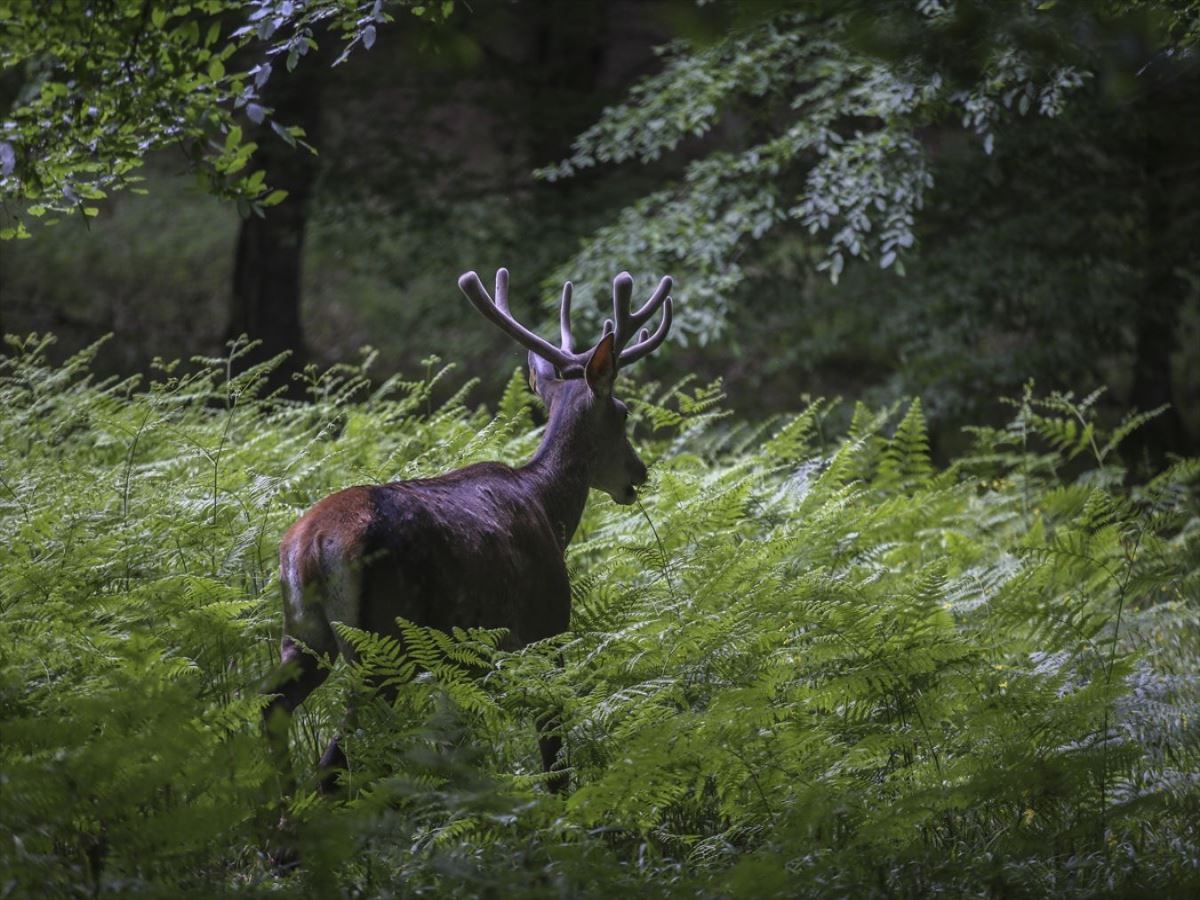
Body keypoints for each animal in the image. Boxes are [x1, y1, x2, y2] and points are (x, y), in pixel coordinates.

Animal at [264, 266, 676, 811]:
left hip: (303, 635)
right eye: (624, 411)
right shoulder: (545, 625)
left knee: (272, 708)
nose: (638, 472)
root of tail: (310, 545)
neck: (548, 508)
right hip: (381, 642)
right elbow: (551, 744)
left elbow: (453, 751)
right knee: (335, 759)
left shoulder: (461, 667)